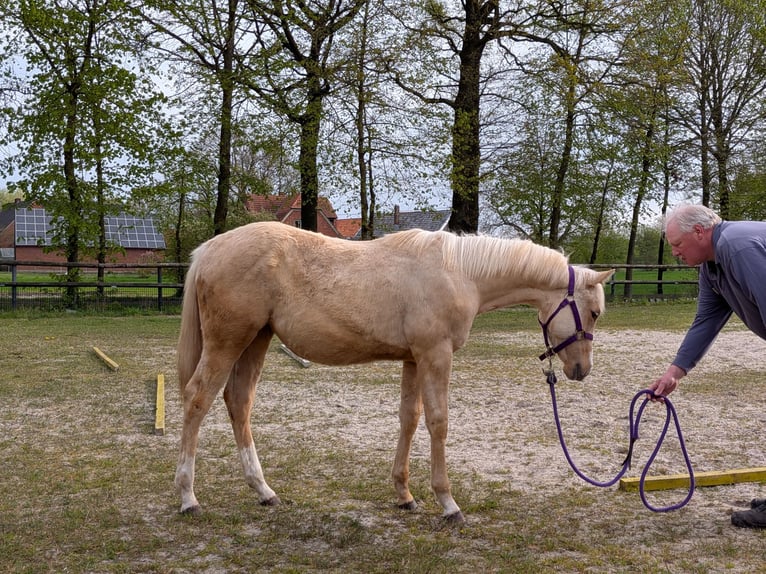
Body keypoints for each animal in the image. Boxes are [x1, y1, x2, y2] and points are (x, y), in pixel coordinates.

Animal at [175, 221, 614, 523]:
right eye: (594, 312)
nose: (581, 370)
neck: (459, 273)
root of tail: (210, 249)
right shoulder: (435, 355)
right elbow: (438, 421)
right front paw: (448, 503)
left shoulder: (413, 359)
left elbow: (409, 418)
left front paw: (404, 495)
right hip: (228, 342)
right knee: (197, 399)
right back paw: (188, 497)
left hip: (256, 340)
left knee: (239, 402)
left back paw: (263, 490)